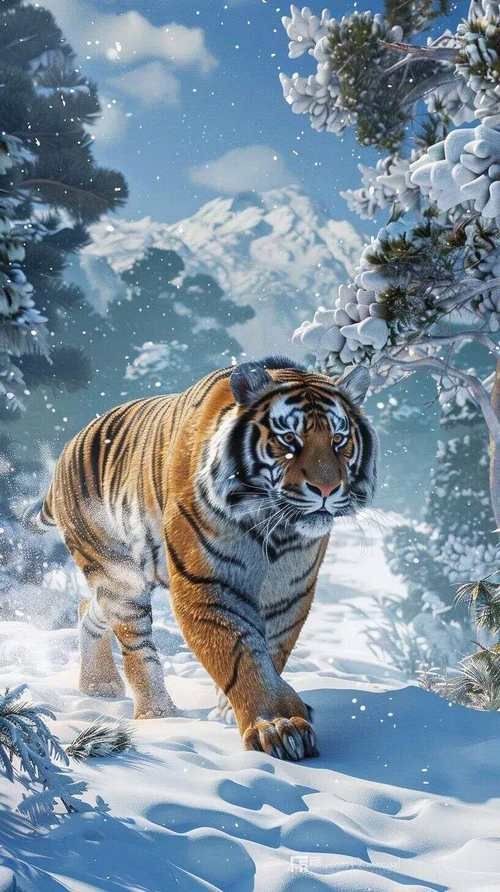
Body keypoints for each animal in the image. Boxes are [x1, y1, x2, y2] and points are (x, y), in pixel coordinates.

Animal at [28, 356, 377, 761]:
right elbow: (240, 654)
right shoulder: (207, 584)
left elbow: (271, 652)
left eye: (339, 441)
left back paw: (99, 686)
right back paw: (157, 715)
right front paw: (276, 726)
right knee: (136, 647)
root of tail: (69, 448)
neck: (277, 530)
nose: (326, 489)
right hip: (118, 574)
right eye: (289, 439)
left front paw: (233, 711)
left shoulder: (289, 593)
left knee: (89, 608)